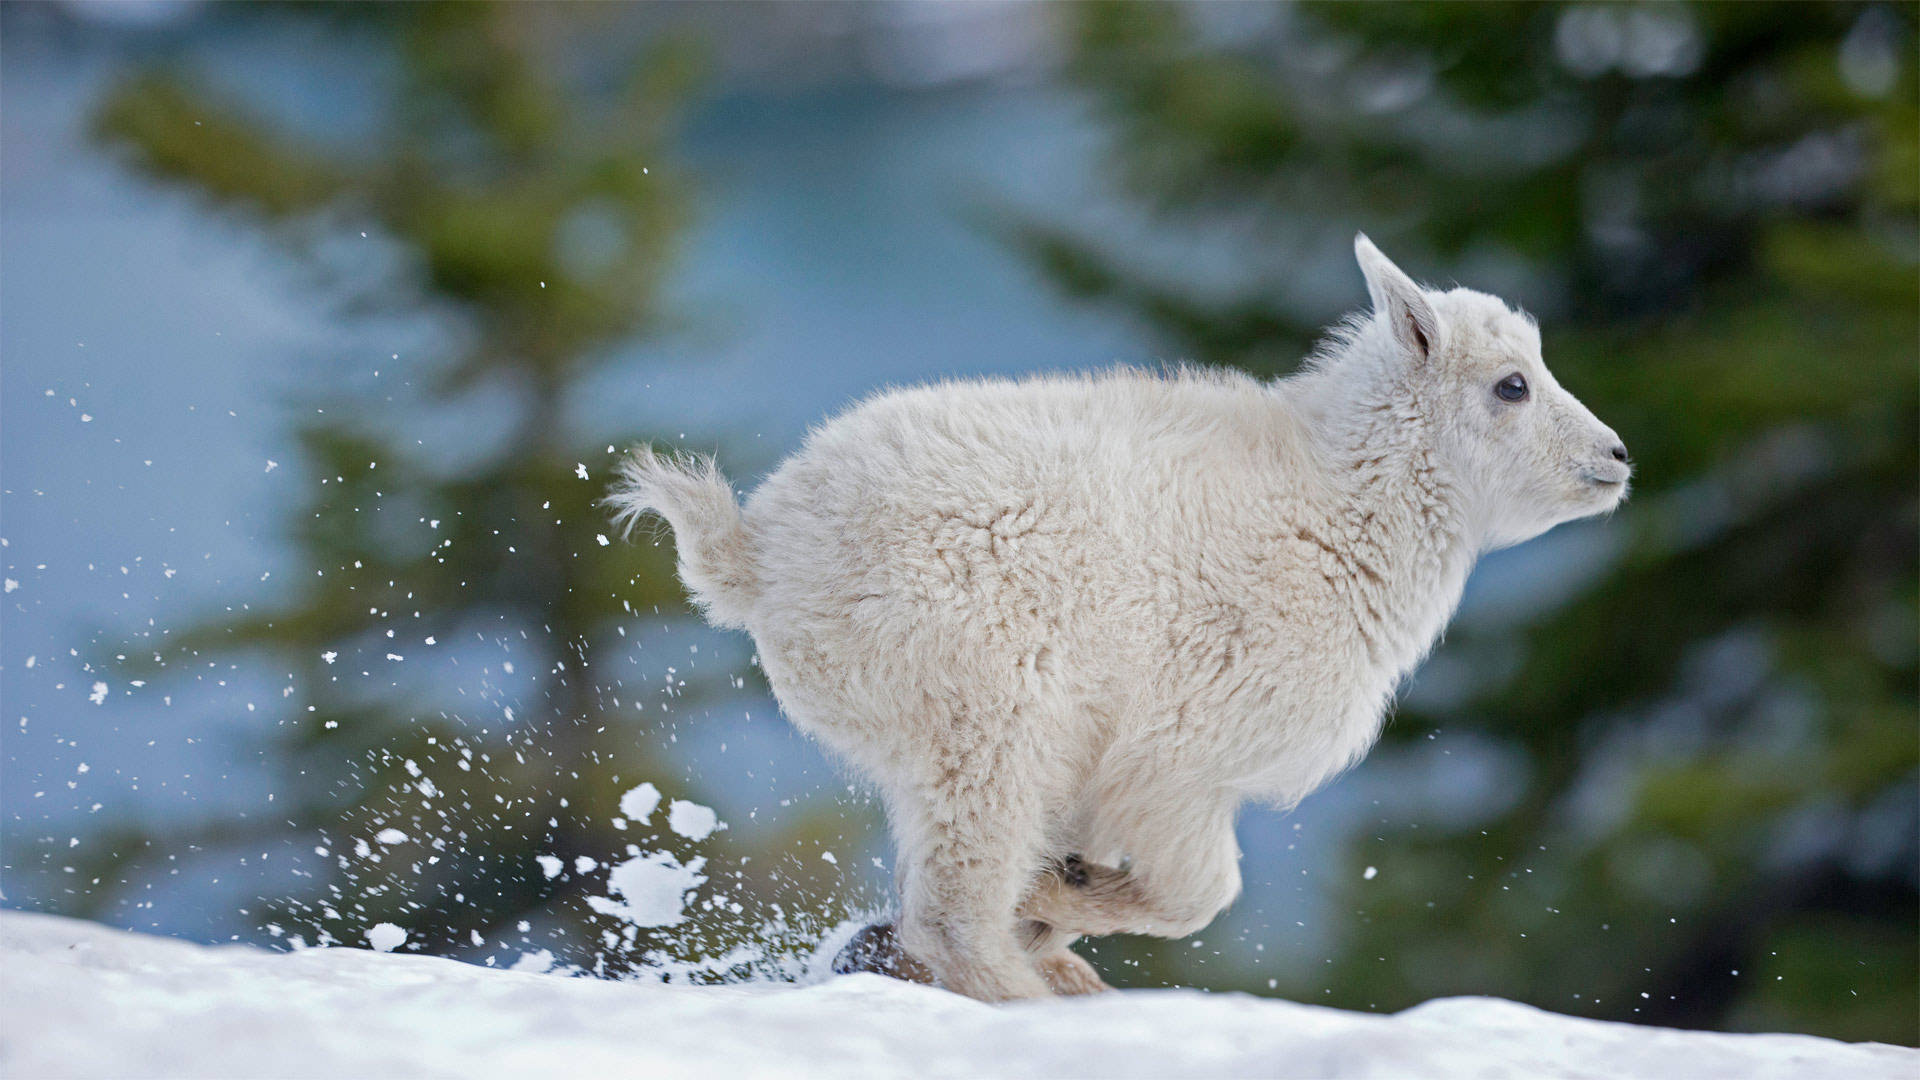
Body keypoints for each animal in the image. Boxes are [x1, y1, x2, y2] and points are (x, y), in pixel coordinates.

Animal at [606, 237, 1628, 999]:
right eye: (1511, 385)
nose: (1616, 456)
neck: (1342, 508)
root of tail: (758, 560)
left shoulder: (1105, 774)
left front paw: (1051, 901)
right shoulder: (1180, 759)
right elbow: (1200, 895)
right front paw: (1057, 900)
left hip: (948, 740)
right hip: (985, 716)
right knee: (954, 911)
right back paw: (1023, 992)